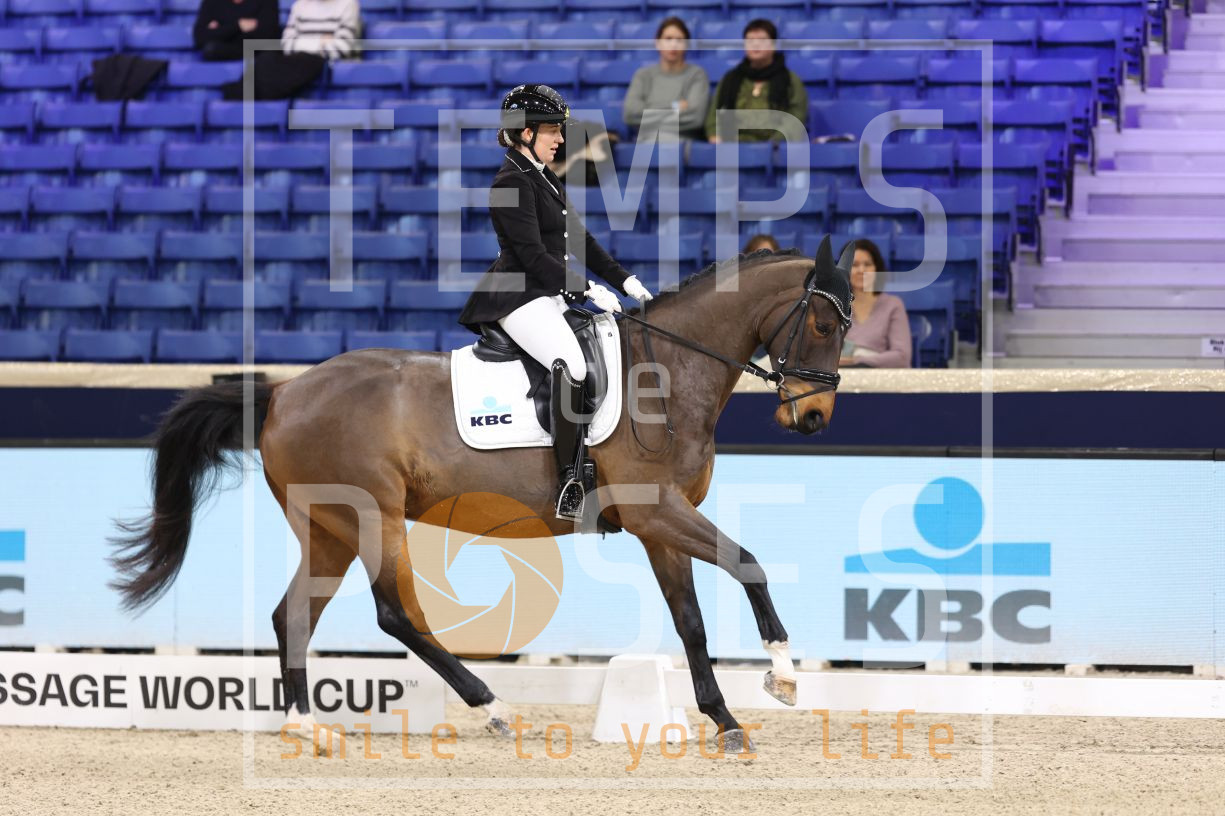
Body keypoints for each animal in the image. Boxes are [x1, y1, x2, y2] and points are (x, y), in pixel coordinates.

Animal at [111, 237, 852, 753]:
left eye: (845, 327)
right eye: (822, 325)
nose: (814, 417)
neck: (668, 373)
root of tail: (285, 391)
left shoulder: (656, 524)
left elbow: (690, 621)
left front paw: (725, 721)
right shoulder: (658, 509)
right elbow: (749, 564)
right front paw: (783, 676)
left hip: (327, 527)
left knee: (292, 614)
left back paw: (307, 728)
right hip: (371, 517)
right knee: (395, 615)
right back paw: (493, 708)